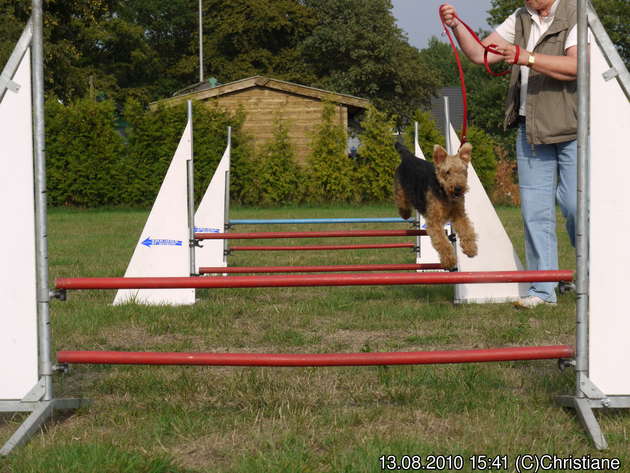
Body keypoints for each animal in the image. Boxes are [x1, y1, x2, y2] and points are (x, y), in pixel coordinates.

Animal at [396, 141, 478, 270]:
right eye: (448, 172)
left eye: (463, 170)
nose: (458, 188)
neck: (444, 193)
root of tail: (408, 156)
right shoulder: (434, 220)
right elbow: (442, 242)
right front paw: (449, 261)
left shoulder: (459, 215)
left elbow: (466, 230)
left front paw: (470, 249)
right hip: (401, 190)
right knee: (402, 202)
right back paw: (405, 213)